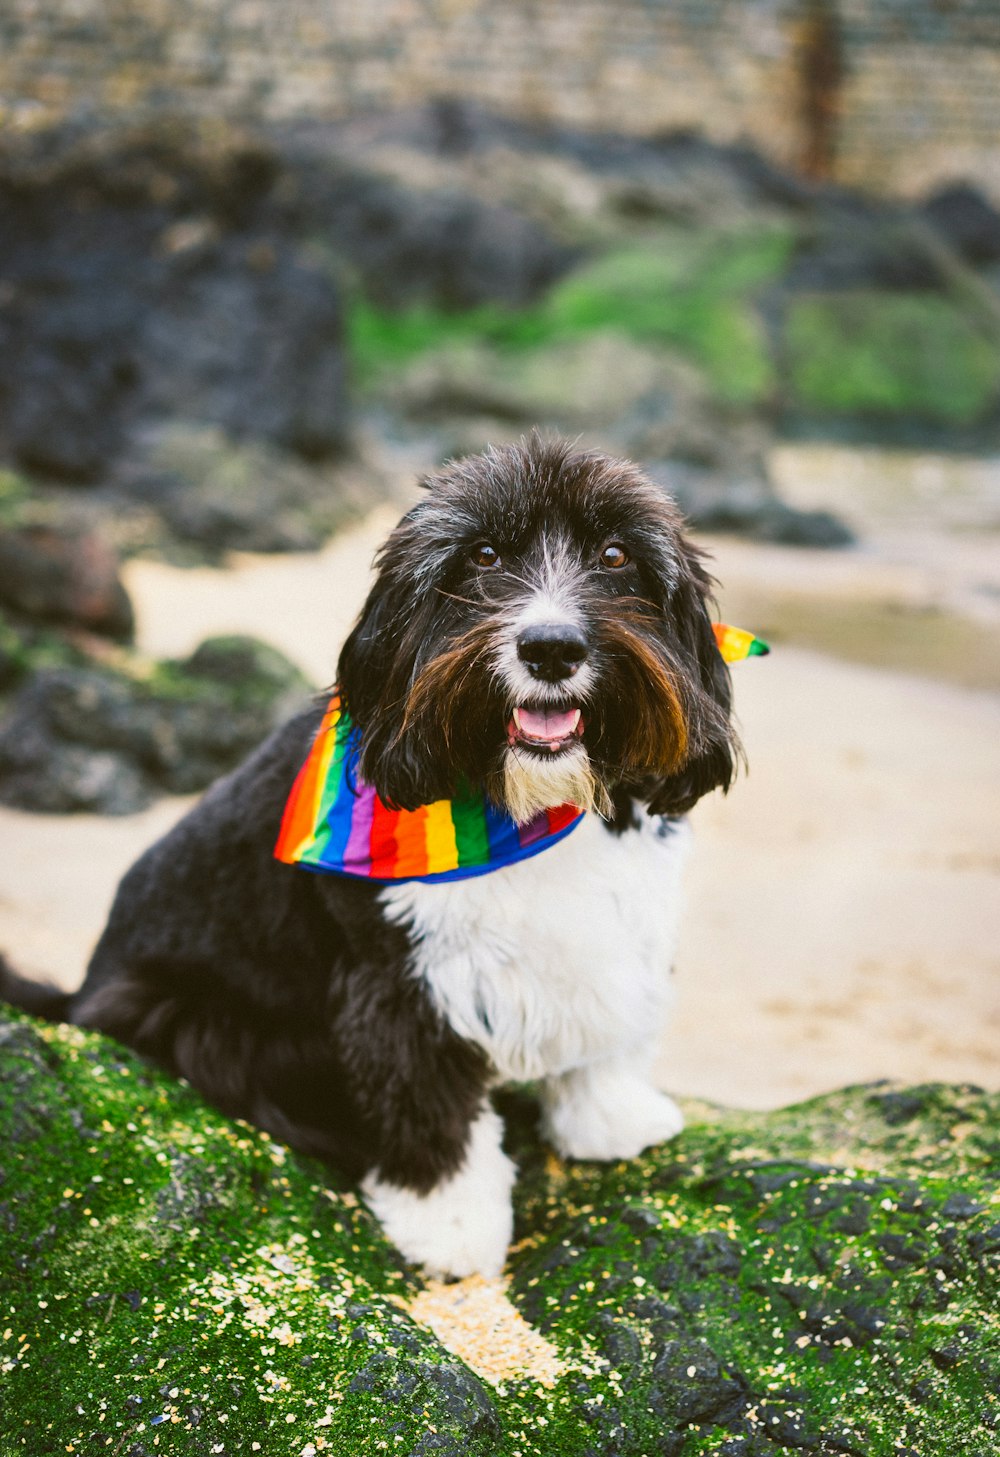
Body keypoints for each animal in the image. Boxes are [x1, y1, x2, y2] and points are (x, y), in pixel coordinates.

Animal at [0, 437, 740, 1282]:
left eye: (616, 555)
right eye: (483, 554)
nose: (551, 647)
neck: (527, 801)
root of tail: (82, 988)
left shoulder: (620, 934)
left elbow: (610, 1025)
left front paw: (611, 1114)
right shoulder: (401, 982)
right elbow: (426, 1101)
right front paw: (451, 1225)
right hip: (193, 1015)